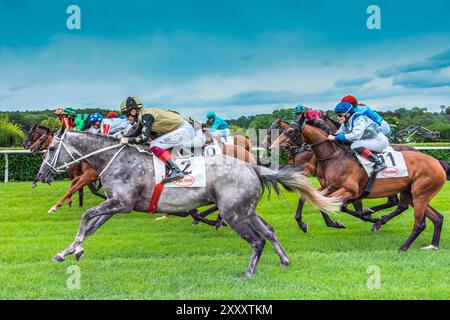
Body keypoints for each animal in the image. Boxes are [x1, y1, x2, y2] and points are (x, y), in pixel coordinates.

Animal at [37, 128, 340, 278]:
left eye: (51, 148)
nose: (41, 174)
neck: (116, 158)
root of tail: (252, 167)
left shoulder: (121, 203)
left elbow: (86, 216)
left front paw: (75, 249)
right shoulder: (115, 204)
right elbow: (90, 225)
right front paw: (67, 252)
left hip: (234, 214)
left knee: (257, 241)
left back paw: (248, 274)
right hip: (245, 210)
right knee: (269, 231)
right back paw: (284, 260)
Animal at [270, 121, 446, 251]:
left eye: (291, 131)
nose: (272, 147)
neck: (334, 157)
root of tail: (437, 163)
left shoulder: (350, 190)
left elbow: (335, 205)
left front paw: (362, 218)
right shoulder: (328, 187)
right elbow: (308, 198)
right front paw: (304, 224)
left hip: (418, 194)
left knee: (408, 213)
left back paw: (397, 240)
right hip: (412, 194)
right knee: (435, 217)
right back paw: (432, 244)